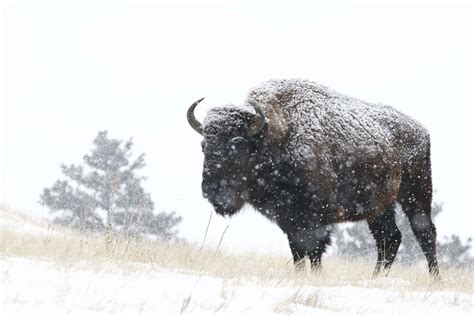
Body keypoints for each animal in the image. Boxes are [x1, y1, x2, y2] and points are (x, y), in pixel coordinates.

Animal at [185, 79, 440, 278]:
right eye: (204, 146)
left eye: (237, 145)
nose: (212, 191)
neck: (278, 136)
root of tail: (422, 130)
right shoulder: (289, 219)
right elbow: (297, 251)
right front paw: (300, 275)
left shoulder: (317, 216)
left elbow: (314, 249)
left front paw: (316, 275)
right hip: (379, 206)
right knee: (389, 238)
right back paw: (375, 277)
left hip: (416, 193)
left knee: (424, 233)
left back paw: (434, 279)